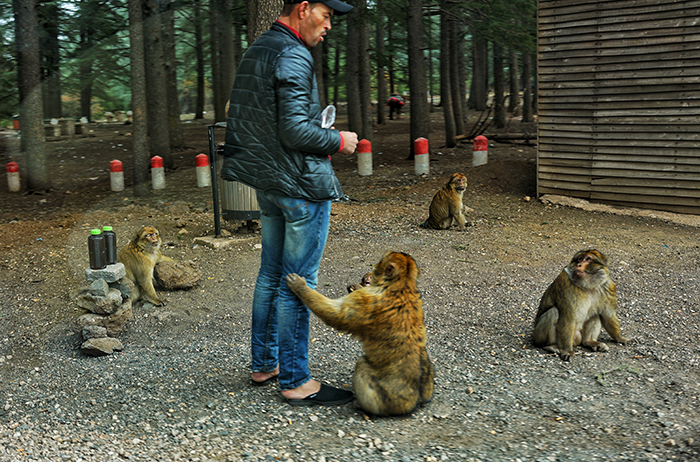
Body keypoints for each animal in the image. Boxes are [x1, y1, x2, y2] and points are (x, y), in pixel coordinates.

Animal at [284, 253, 432, 416]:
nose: (370, 273)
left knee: (362, 364)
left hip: (389, 399)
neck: (403, 284)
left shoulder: (366, 297)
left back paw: (363, 407)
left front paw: (300, 286)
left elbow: (337, 315)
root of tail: (414, 401)